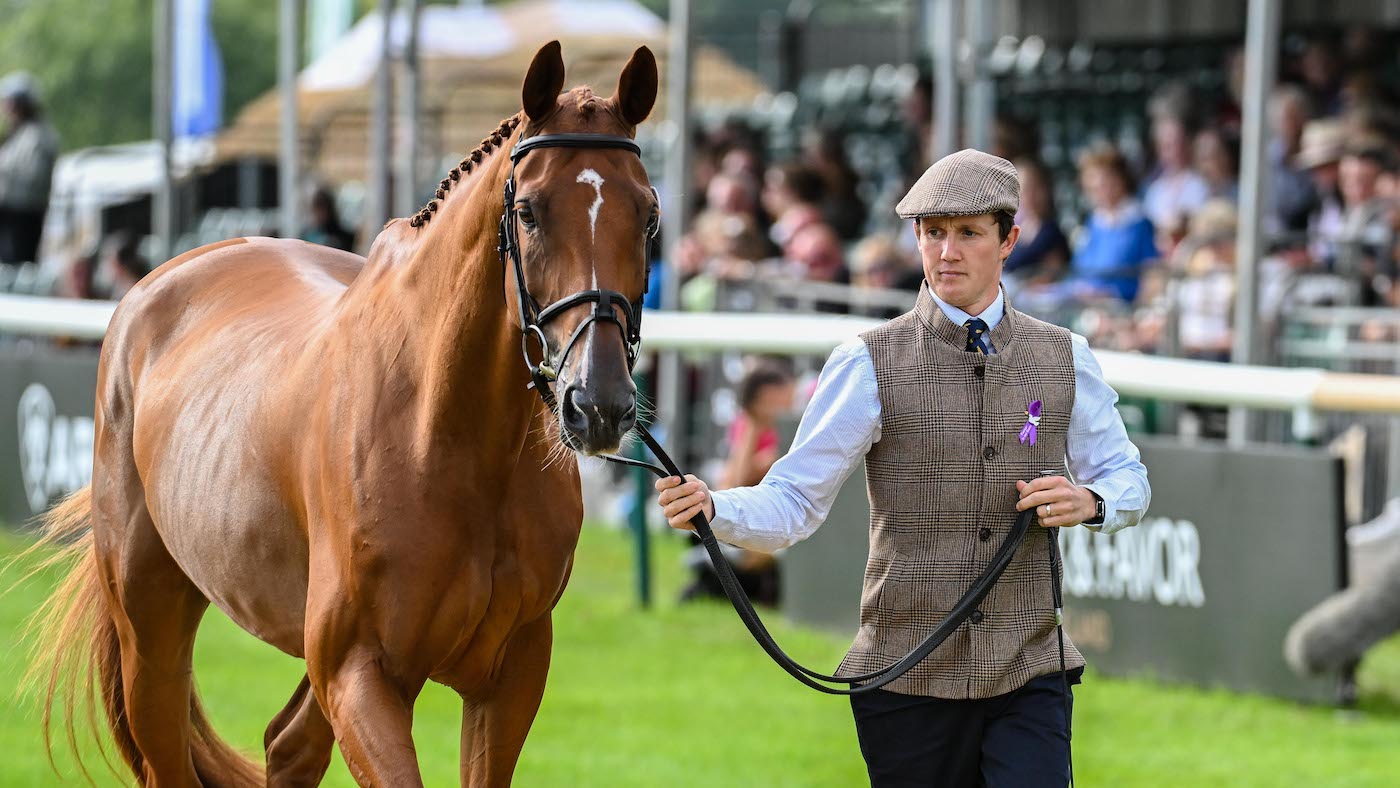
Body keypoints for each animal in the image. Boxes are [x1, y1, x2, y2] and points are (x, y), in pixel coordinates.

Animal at [27, 41, 659, 787]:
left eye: (649, 214)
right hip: (150, 628)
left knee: (288, 744)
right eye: (529, 211)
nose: (599, 403)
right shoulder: (361, 673)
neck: (449, 438)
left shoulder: (509, 675)